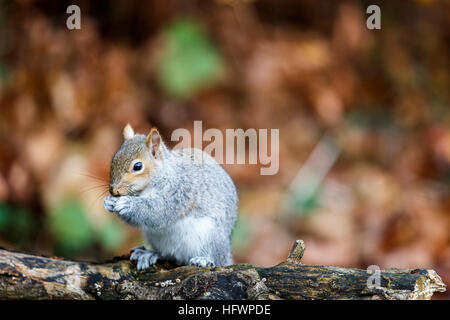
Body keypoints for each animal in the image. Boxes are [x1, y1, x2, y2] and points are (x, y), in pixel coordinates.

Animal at [103, 124, 239, 268]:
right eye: (113, 160)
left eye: (138, 166)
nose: (113, 191)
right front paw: (108, 202)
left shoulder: (179, 191)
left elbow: (159, 211)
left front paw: (128, 203)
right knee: (166, 254)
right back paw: (149, 254)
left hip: (211, 236)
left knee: (216, 257)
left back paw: (204, 259)